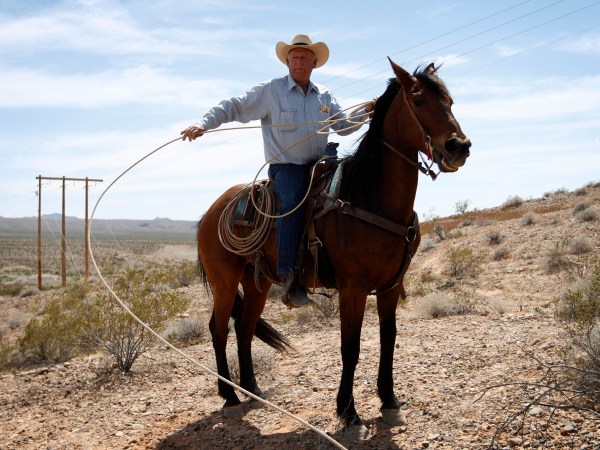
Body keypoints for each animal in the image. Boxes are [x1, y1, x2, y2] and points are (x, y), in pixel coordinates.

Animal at [196, 59, 471, 438]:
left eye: (450, 100)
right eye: (418, 100)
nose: (460, 146)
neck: (368, 196)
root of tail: (210, 212)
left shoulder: (391, 287)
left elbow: (388, 341)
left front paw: (390, 402)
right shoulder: (352, 289)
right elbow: (350, 348)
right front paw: (349, 414)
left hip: (257, 282)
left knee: (245, 327)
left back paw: (252, 389)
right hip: (224, 282)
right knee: (219, 329)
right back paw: (230, 397)